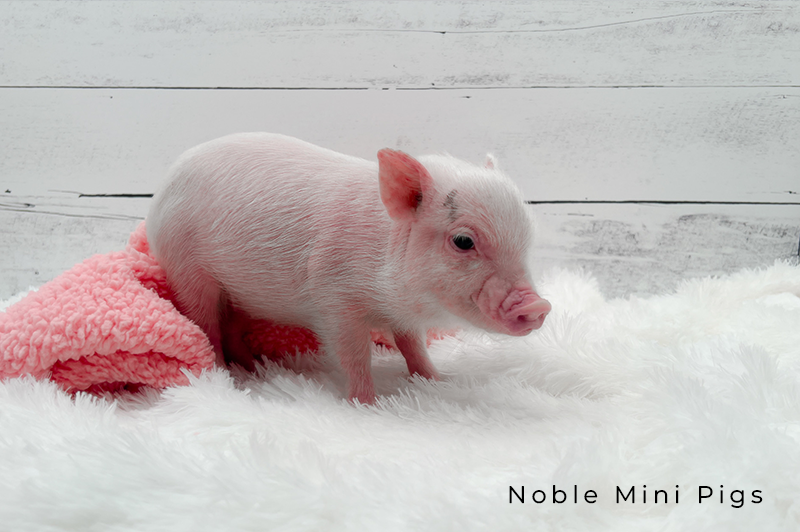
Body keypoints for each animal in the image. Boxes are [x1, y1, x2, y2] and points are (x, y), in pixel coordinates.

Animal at [146, 133, 551, 404]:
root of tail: (165, 184)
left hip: (247, 294)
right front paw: (367, 403)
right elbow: (355, 356)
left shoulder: (401, 313)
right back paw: (226, 378)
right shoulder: (335, 300)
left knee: (232, 326)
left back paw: (257, 368)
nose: (538, 305)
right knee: (206, 327)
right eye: (464, 241)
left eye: (527, 237)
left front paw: (437, 381)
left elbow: (413, 345)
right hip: (186, 268)